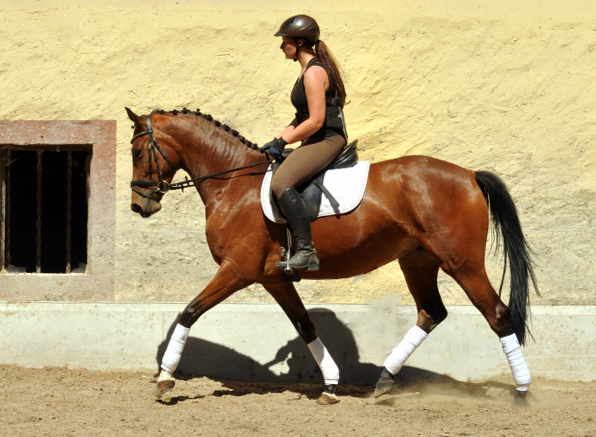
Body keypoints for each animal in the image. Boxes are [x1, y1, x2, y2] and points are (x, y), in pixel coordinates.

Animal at [127, 107, 540, 404]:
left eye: (136, 151)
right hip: (417, 260)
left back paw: (522, 391)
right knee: (431, 313)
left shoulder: (238, 270)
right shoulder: (273, 278)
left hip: (462, 263)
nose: (139, 205)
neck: (233, 182)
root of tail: (469, 174)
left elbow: (189, 311)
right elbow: (306, 326)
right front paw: (330, 384)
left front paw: (165, 378)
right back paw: (385, 380)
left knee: (497, 315)